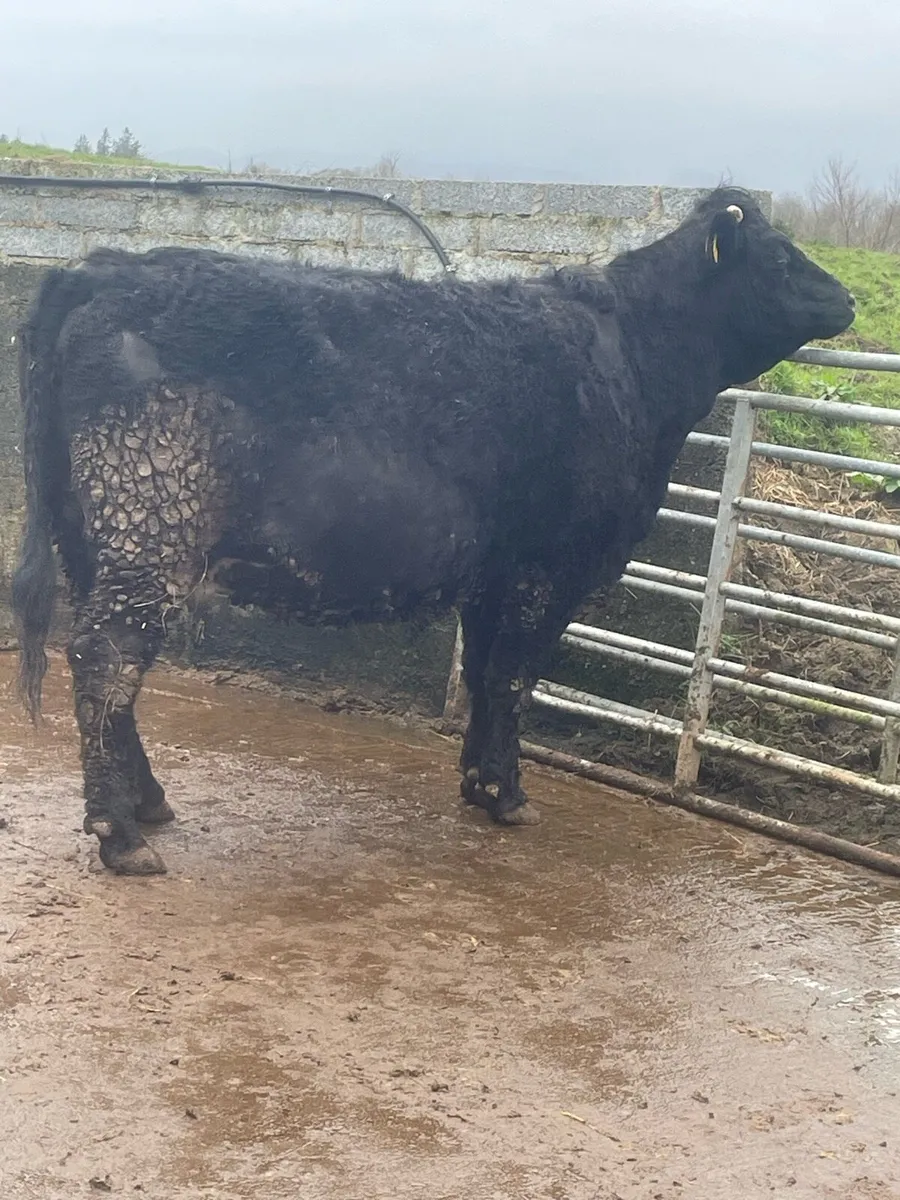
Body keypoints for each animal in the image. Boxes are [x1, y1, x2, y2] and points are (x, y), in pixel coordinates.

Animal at [11, 187, 854, 875]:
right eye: (781, 256)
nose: (846, 297)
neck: (631, 360)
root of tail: (101, 270)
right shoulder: (547, 567)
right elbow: (515, 676)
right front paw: (508, 794)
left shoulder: (494, 575)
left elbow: (483, 674)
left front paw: (479, 784)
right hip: (150, 522)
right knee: (107, 656)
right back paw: (120, 833)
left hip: (94, 539)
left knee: (106, 660)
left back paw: (147, 798)